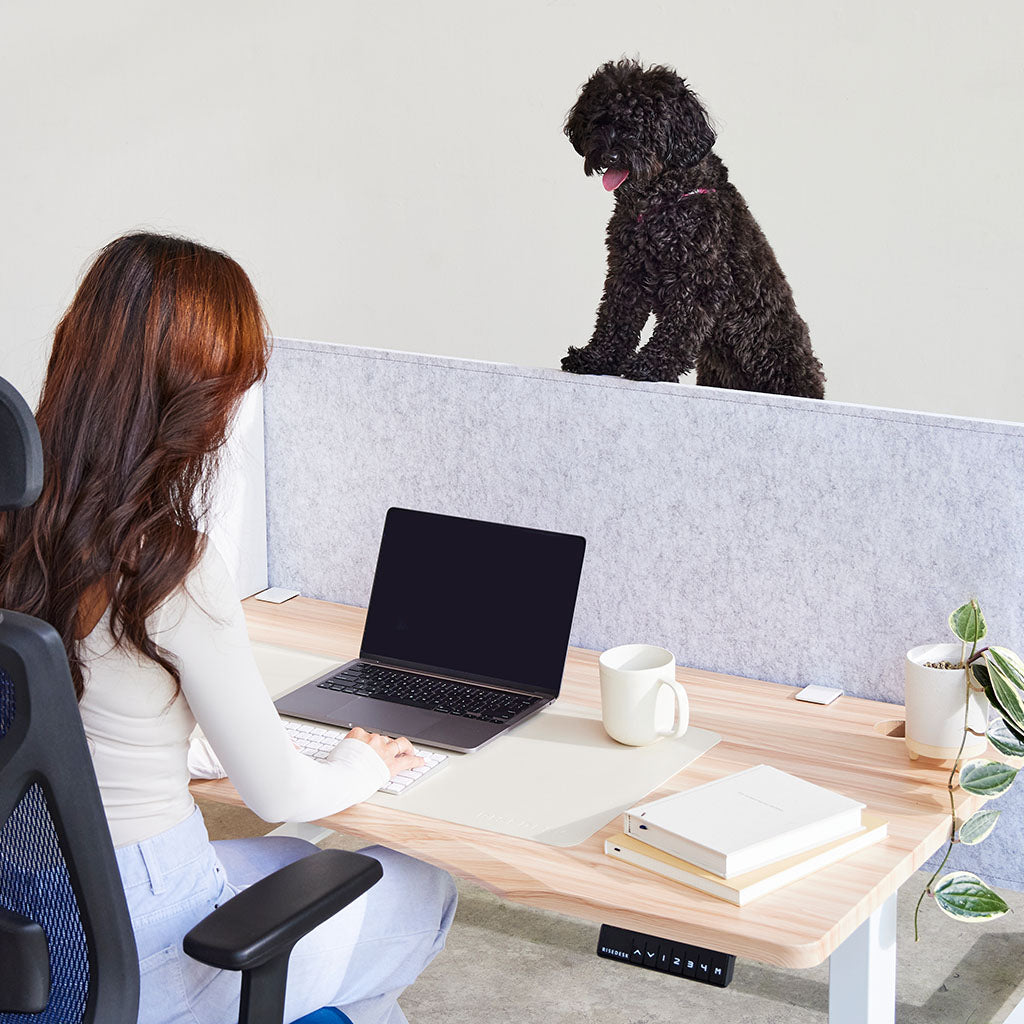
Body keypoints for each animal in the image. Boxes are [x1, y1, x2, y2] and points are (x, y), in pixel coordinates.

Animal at [561, 58, 823, 397]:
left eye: (645, 123)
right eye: (601, 120)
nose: (611, 154)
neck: (660, 203)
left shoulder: (700, 278)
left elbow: (678, 328)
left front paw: (653, 365)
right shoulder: (627, 272)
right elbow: (615, 318)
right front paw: (596, 358)